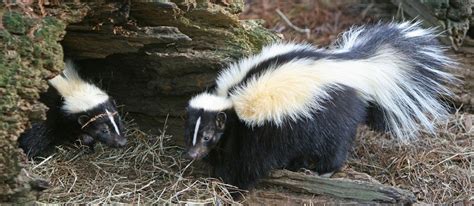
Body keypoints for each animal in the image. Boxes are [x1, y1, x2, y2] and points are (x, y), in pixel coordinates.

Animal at [184, 21, 456, 191]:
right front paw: (215, 167)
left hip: (334, 114)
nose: (192, 154)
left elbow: (249, 163)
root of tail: (358, 67)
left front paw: (233, 186)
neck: (230, 102)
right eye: (190, 134)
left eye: (207, 135)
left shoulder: (255, 132)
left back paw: (324, 170)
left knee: (336, 146)